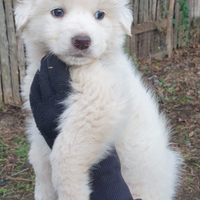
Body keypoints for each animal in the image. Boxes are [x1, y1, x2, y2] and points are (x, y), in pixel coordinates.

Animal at [15, 0, 181, 200]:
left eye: (100, 15)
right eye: (57, 12)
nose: (82, 41)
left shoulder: (98, 104)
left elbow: (65, 153)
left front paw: (72, 193)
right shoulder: (37, 114)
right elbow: (39, 157)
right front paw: (43, 191)